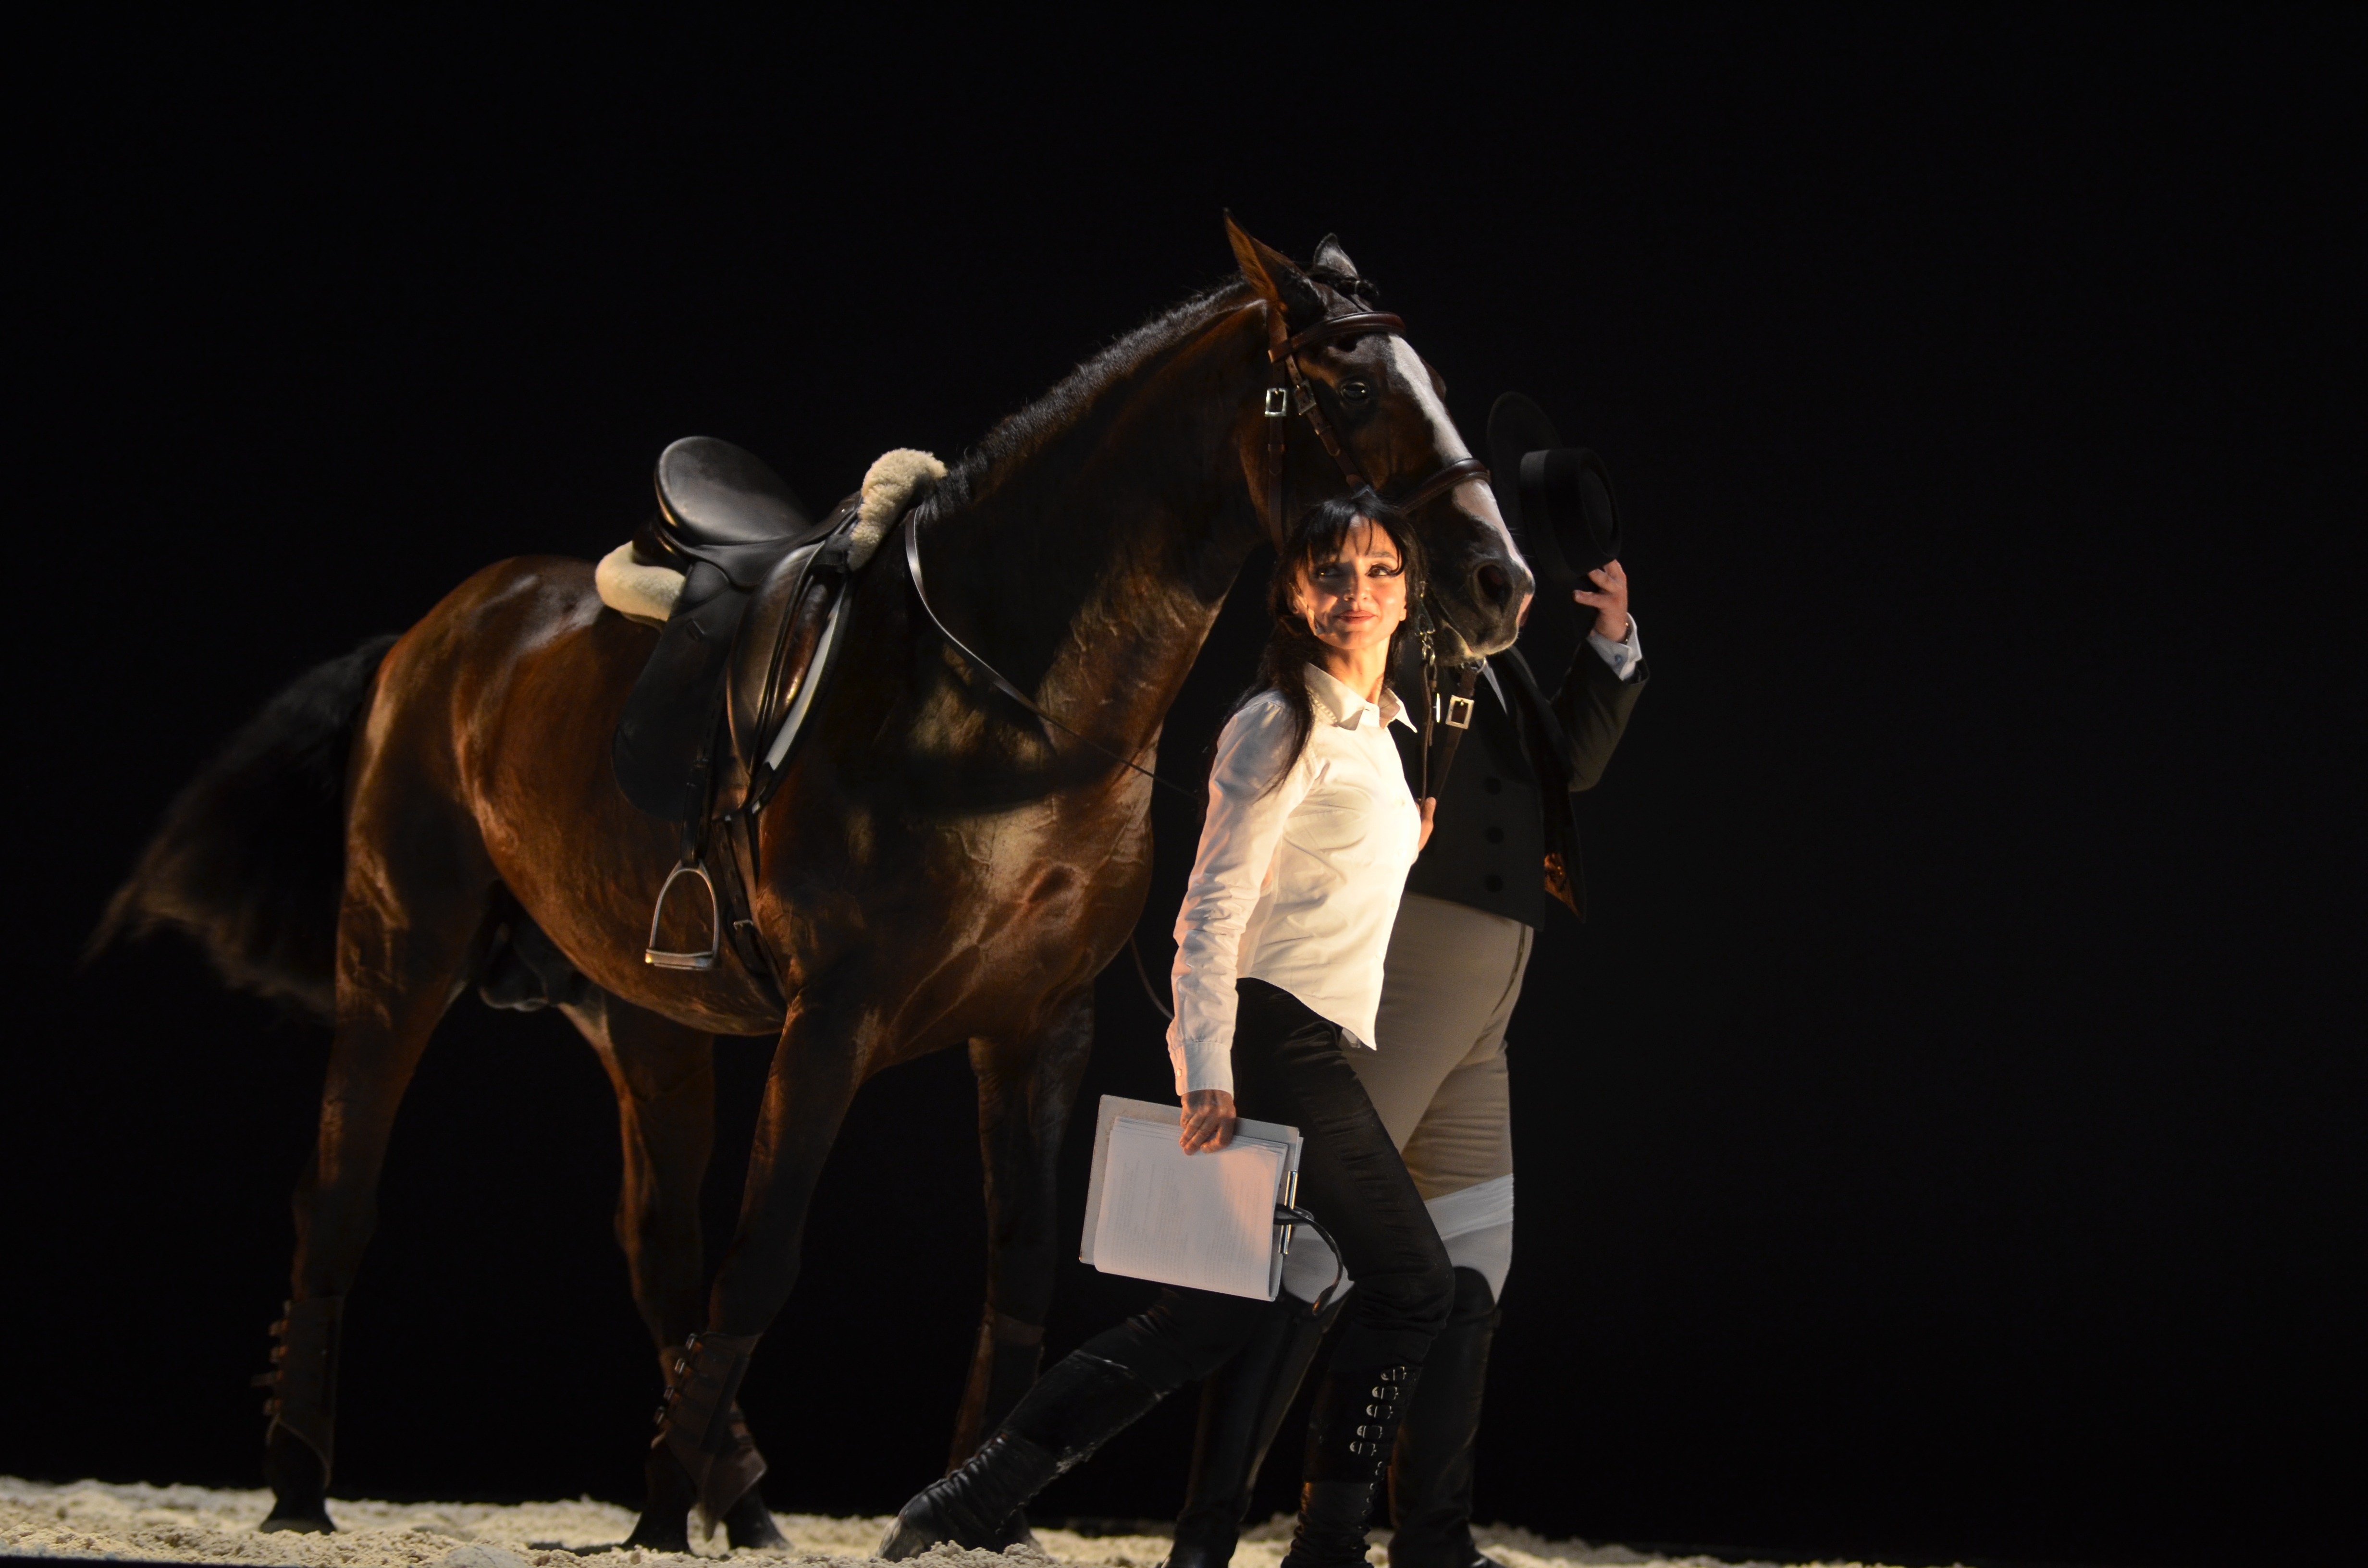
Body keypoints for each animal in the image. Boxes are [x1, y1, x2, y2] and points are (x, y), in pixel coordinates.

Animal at [101, 218, 1534, 1544]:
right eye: (1353, 386)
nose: (1500, 582)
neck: (998, 692)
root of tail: (438, 633)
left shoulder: (1039, 1025)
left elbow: (1017, 1266)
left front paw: (973, 1515)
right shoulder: (834, 1019)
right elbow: (765, 1260)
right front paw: (665, 1518)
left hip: (641, 1013)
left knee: (657, 1249)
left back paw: (731, 1497)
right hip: (400, 957)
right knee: (342, 1199)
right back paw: (305, 1488)